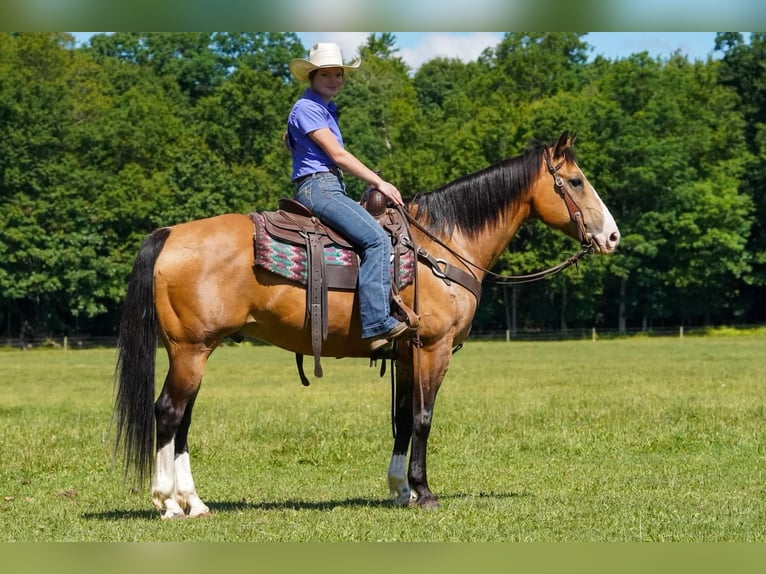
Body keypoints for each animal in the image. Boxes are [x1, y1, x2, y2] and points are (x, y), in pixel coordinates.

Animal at [113, 131, 620, 518]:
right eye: (576, 181)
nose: (612, 236)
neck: (443, 247)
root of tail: (170, 234)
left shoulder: (407, 352)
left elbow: (402, 418)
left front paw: (401, 489)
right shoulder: (432, 348)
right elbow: (423, 418)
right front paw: (424, 492)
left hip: (194, 351)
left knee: (182, 420)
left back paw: (195, 502)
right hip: (190, 350)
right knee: (168, 413)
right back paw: (168, 503)